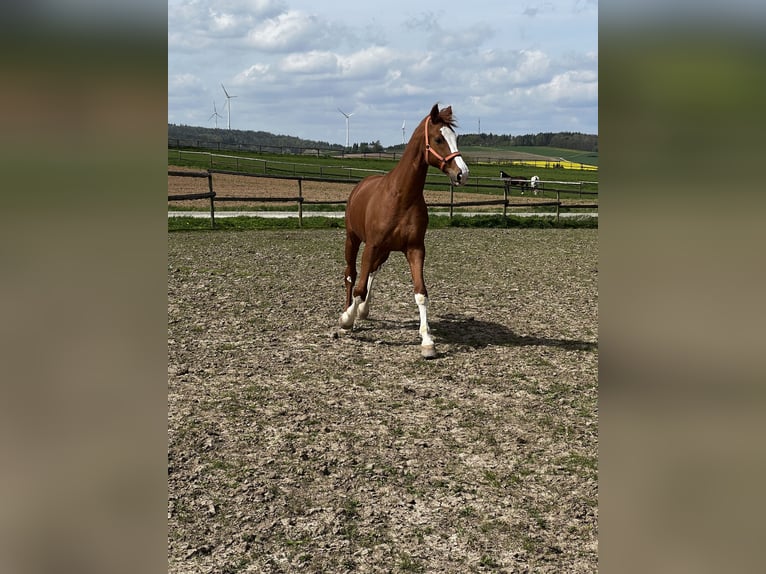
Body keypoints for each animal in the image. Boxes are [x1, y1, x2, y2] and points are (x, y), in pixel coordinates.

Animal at [340, 101, 472, 358]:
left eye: (456, 138)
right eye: (438, 139)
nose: (462, 173)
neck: (400, 196)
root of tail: (360, 185)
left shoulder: (415, 249)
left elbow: (421, 293)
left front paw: (428, 341)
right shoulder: (371, 245)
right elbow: (359, 286)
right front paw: (347, 319)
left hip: (384, 251)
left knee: (372, 272)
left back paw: (363, 311)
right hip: (354, 240)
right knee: (351, 274)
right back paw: (347, 313)